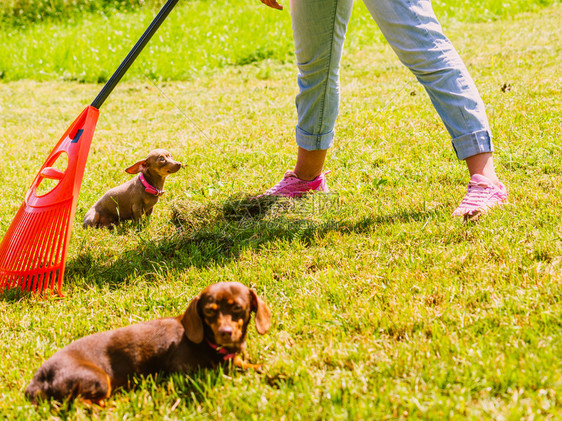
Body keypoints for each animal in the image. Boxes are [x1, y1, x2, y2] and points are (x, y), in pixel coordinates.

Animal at [25, 280, 270, 406]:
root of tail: (38, 378)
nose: (225, 332)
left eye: (238, 308)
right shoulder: (183, 371)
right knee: (76, 403)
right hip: (98, 380)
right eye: (210, 311)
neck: (207, 343)